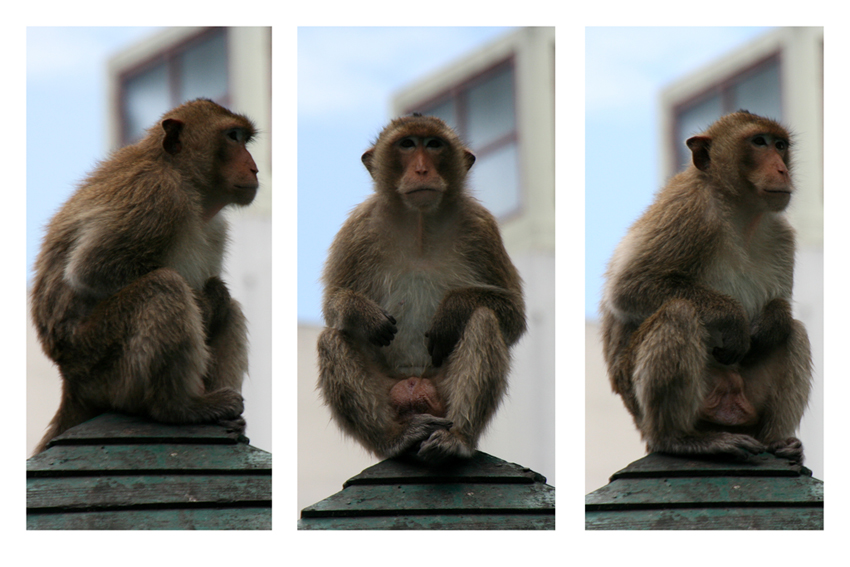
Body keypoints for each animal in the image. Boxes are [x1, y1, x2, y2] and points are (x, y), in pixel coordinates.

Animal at [30, 96, 258, 452]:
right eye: (232, 137)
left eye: (244, 139)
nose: (254, 167)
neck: (183, 178)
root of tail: (70, 382)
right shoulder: (158, 196)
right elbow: (92, 271)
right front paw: (208, 301)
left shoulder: (214, 225)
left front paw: (214, 298)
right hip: (99, 363)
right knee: (163, 286)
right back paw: (180, 407)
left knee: (226, 308)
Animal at [314, 113, 524, 464]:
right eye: (408, 145)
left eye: (434, 145)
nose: (422, 169)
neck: (420, 223)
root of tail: (414, 388)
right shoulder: (358, 228)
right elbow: (333, 308)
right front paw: (362, 313)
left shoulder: (482, 227)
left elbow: (514, 314)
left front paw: (452, 311)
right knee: (331, 338)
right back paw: (393, 438)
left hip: (442, 393)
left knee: (483, 319)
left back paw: (457, 438)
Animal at [600, 112, 812, 466]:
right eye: (759, 142)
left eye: (780, 146)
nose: (782, 169)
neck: (739, 212)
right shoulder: (689, 214)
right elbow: (630, 286)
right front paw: (732, 318)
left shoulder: (782, 235)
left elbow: (779, 306)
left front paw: (773, 319)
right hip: (649, 401)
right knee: (679, 312)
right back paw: (678, 440)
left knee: (794, 332)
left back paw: (776, 441)